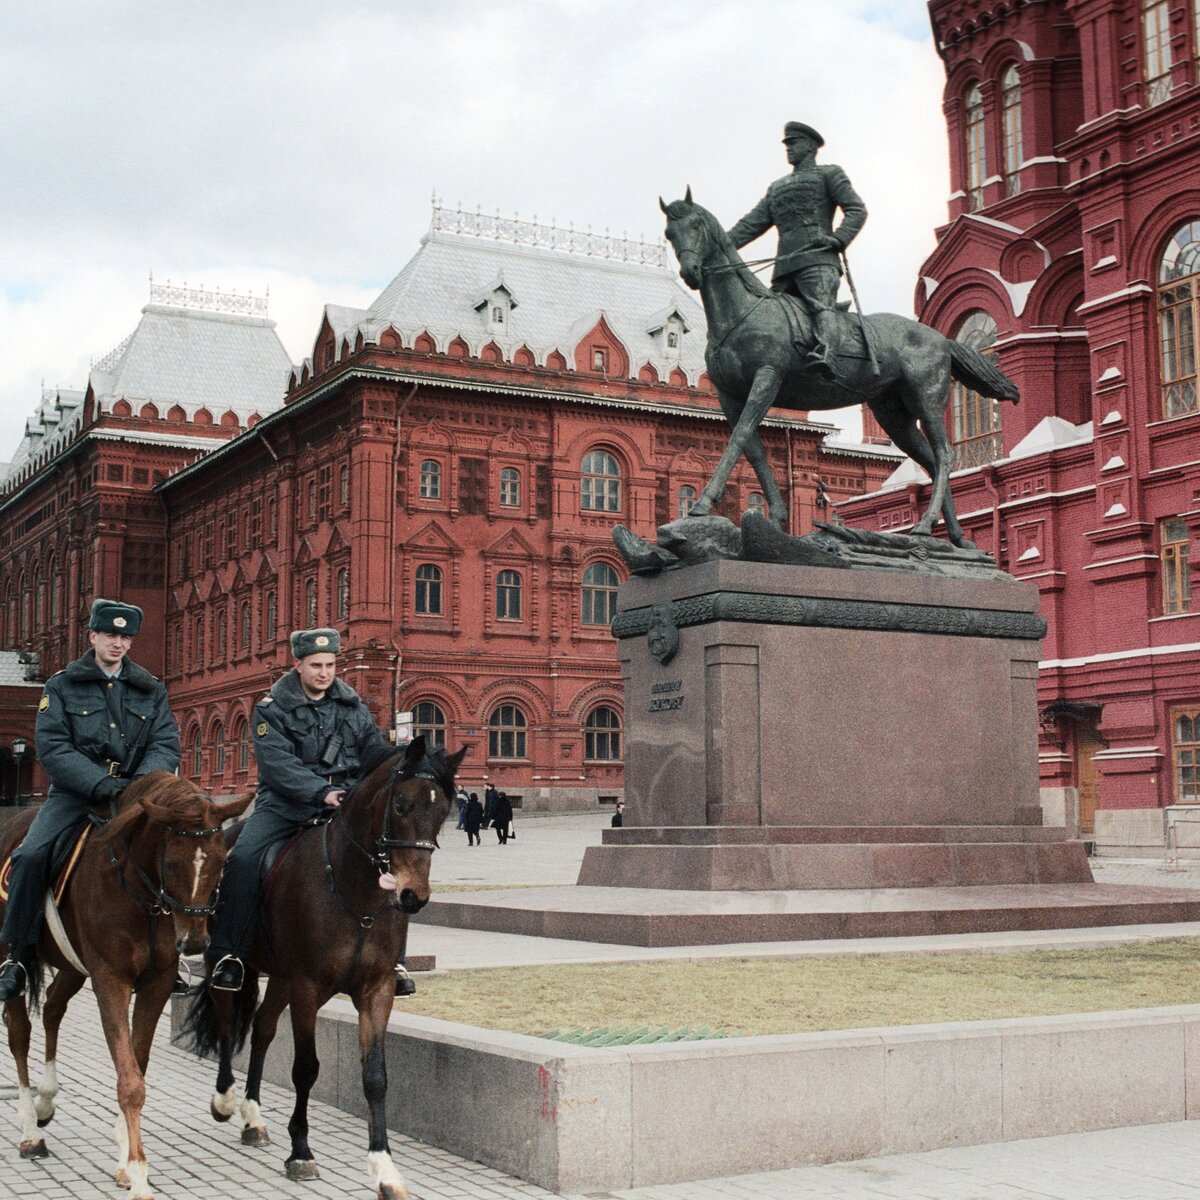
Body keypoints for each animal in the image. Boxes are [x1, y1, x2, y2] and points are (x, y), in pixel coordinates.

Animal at [0, 772, 250, 1200]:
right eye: (172, 861)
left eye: (221, 861)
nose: (195, 943)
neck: (141, 896)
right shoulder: (111, 981)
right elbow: (129, 1079)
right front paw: (137, 1171)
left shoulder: (156, 984)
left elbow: (137, 1063)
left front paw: (123, 1159)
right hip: (10, 953)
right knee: (19, 1032)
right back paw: (30, 1128)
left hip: (72, 966)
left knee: (52, 1008)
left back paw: (47, 1098)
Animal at [182, 734, 463, 1200]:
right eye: (401, 804)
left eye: (443, 810)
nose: (413, 895)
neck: (355, 890)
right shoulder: (307, 988)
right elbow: (306, 1068)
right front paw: (301, 1151)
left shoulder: (376, 990)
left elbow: (375, 1076)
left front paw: (385, 1168)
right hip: (228, 963)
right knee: (225, 1021)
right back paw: (225, 1100)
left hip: (278, 976)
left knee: (262, 1028)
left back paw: (253, 1117)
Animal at [662, 192, 1017, 549]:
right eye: (669, 233)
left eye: (696, 226)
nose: (691, 272)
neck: (746, 312)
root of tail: (943, 339)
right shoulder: (729, 396)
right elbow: (755, 451)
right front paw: (775, 515)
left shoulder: (766, 378)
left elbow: (738, 439)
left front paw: (702, 503)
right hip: (893, 416)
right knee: (931, 461)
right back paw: (956, 537)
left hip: (927, 401)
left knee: (945, 455)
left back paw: (926, 524)